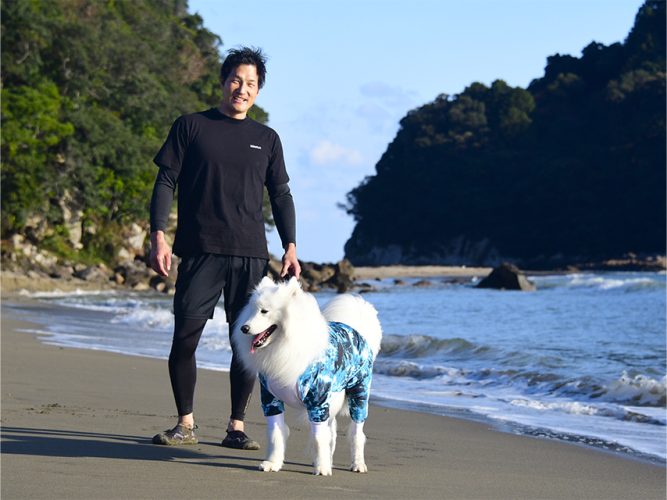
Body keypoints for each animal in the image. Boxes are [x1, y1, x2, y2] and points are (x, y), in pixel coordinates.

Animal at [232, 276, 382, 475]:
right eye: (252, 309)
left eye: (264, 311)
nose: (244, 328)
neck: (284, 346)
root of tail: (356, 329)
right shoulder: (271, 400)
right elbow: (275, 434)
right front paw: (272, 463)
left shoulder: (317, 401)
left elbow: (318, 438)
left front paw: (322, 468)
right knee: (332, 432)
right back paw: (329, 460)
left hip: (359, 395)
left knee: (356, 433)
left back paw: (357, 464)